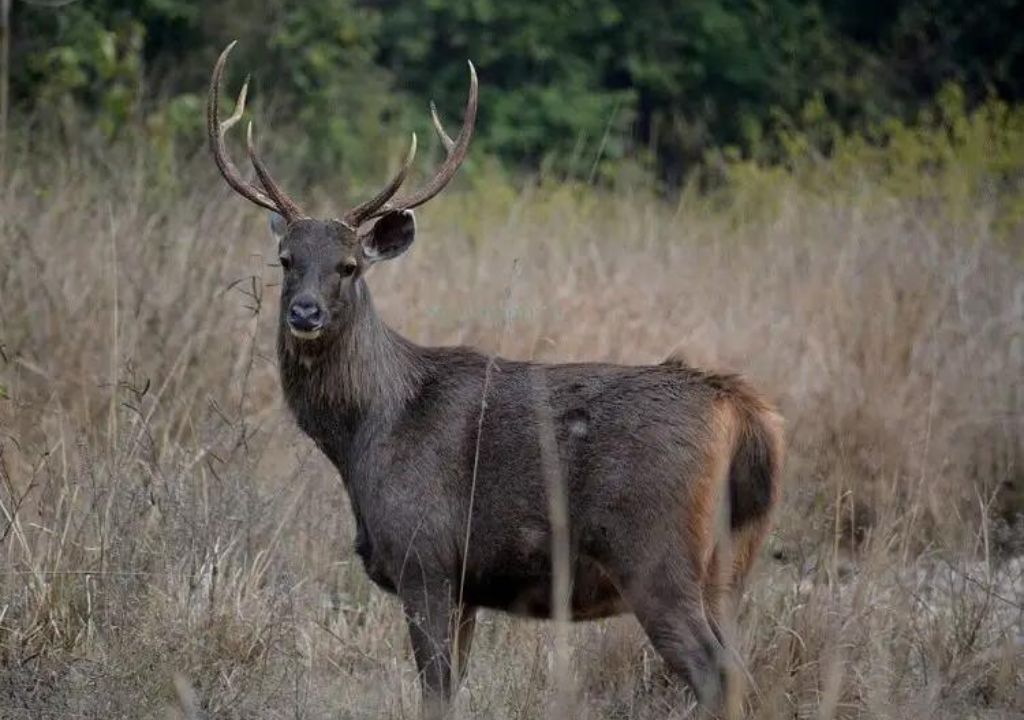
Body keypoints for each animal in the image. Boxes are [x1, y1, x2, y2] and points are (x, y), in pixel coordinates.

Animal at [207, 42, 784, 719]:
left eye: (349, 266)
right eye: (286, 260)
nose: (305, 313)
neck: (368, 432)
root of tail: (743, 411)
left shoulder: (425, 556)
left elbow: (434, 693)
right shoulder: (465, 586)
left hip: (656, 553)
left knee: (716, 672)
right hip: (732, 561)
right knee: (745, 670)